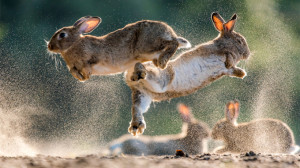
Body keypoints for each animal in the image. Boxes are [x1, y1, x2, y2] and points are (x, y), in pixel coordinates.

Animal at [48, 15, 191, 81]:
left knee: (173, 43)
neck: (74, 43)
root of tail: (170, 32)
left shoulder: (94, 55)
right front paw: (82, 78)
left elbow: (90, 63)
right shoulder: (73, 67)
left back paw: (162, 62)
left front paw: (86, 74)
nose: (49, 46)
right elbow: (73, 71)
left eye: (62, 35)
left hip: (146, 45)